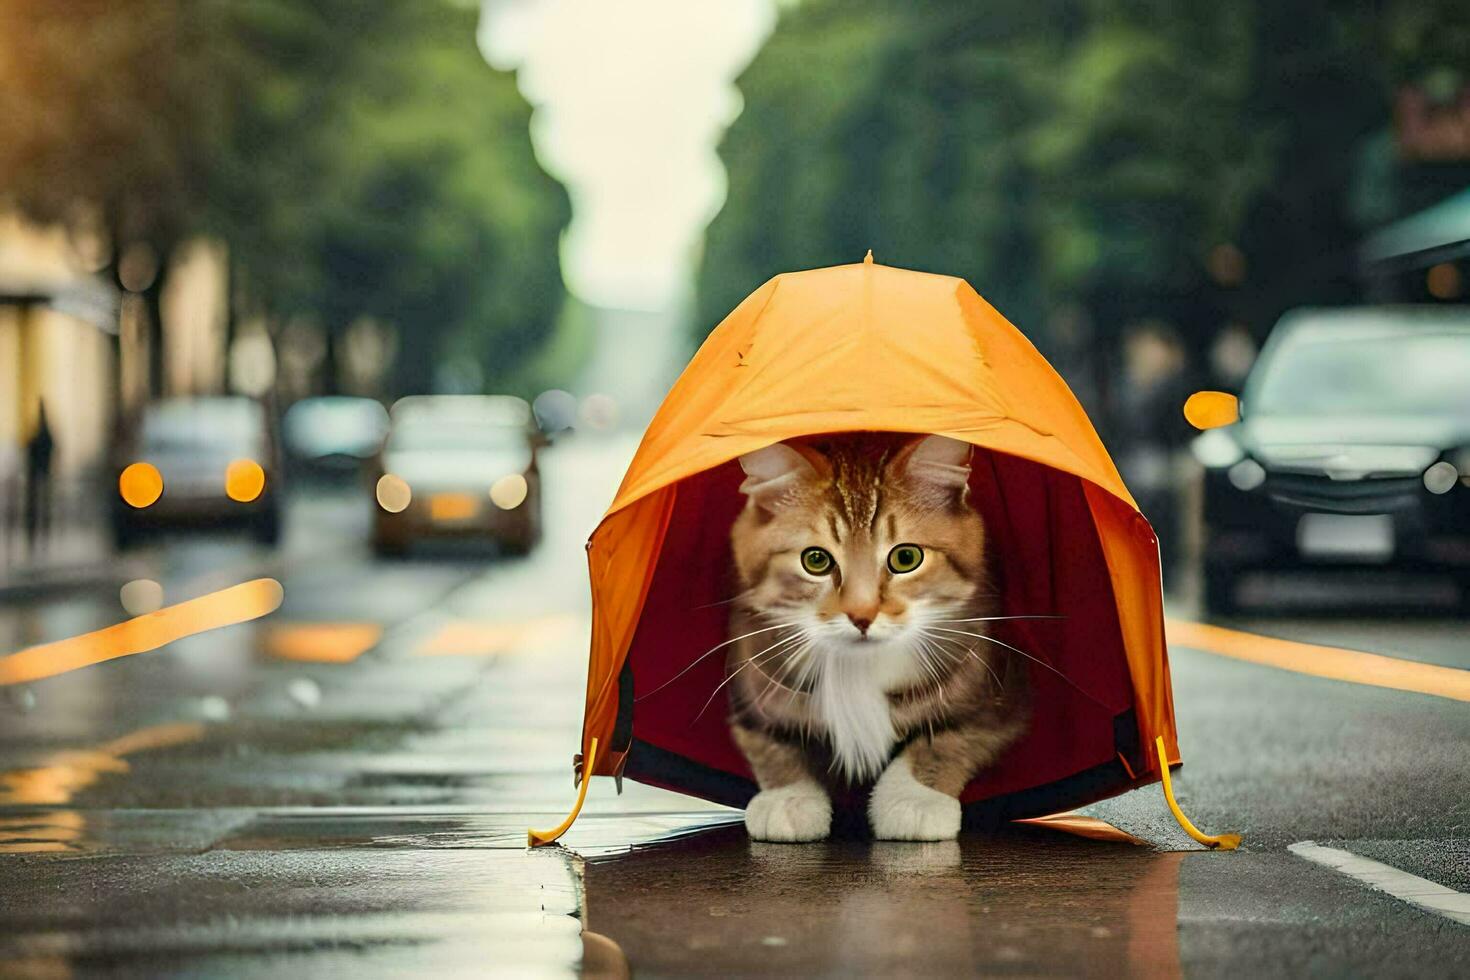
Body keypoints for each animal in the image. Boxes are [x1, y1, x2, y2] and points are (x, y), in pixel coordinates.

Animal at [720, 434, 1023, 846]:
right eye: (815, 560)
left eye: (906, 558)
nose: (861, 616)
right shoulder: (751, 679)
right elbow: (771, 744)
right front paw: (788, 798)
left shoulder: (1001, 696)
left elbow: (948, 739)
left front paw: (913, 799)